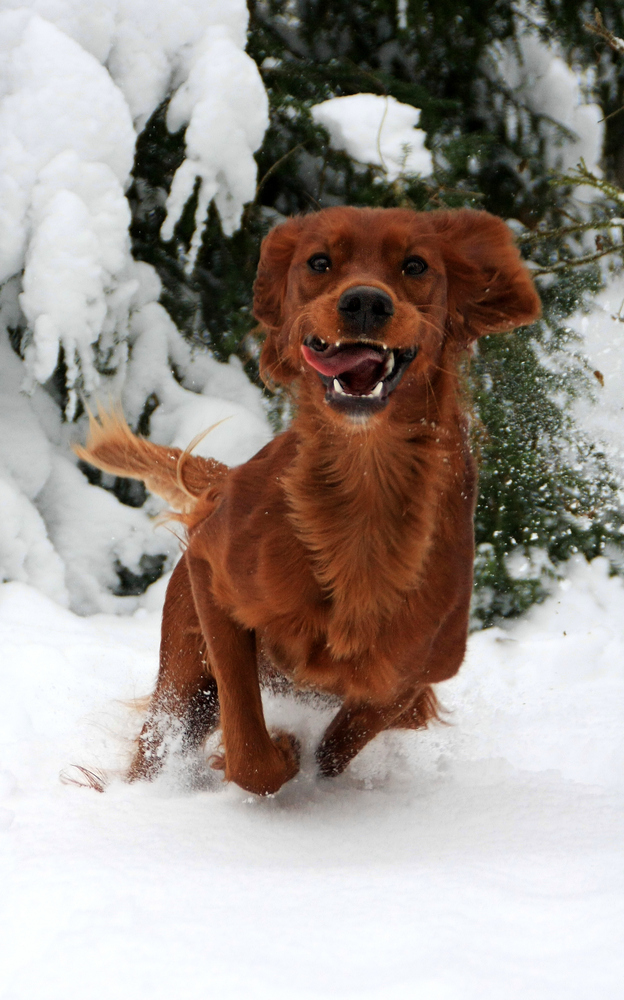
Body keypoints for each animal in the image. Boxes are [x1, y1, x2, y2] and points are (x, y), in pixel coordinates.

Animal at [77, 205, 536, 796]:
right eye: (319, 262)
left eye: (415, 265)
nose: (365, 302)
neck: (362, 487)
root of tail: (226, 477)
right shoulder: (211, 570)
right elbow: (250, 743)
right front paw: (281, 751)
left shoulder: (420, 670)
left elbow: (343, 740)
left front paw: (313, 759)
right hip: (181, 679)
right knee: (161, 741)